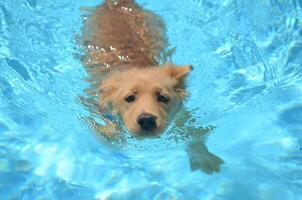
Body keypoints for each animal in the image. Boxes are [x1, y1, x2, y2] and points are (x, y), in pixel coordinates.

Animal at [81, 0, 223, 173]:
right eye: (129, 98)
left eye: (163, 97)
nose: (147, 120)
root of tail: (118, 3)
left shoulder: (182, 114)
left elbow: (192, 133)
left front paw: (202, 157)